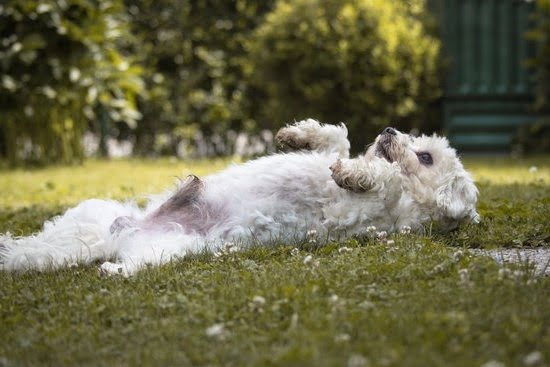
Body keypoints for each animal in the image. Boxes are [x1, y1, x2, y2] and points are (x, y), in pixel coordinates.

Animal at [0, 119, 480, 274]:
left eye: (425, 156)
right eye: (419, 141)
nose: (388, 131)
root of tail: (119, 236)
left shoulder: (361, 214)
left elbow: (380, 178)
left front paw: (359, 173)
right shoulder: (333, 153)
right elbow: (335, 139)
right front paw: (295, 135)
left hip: (166, 250)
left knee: (133, 265)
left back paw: (114, 271)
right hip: (88, 220)